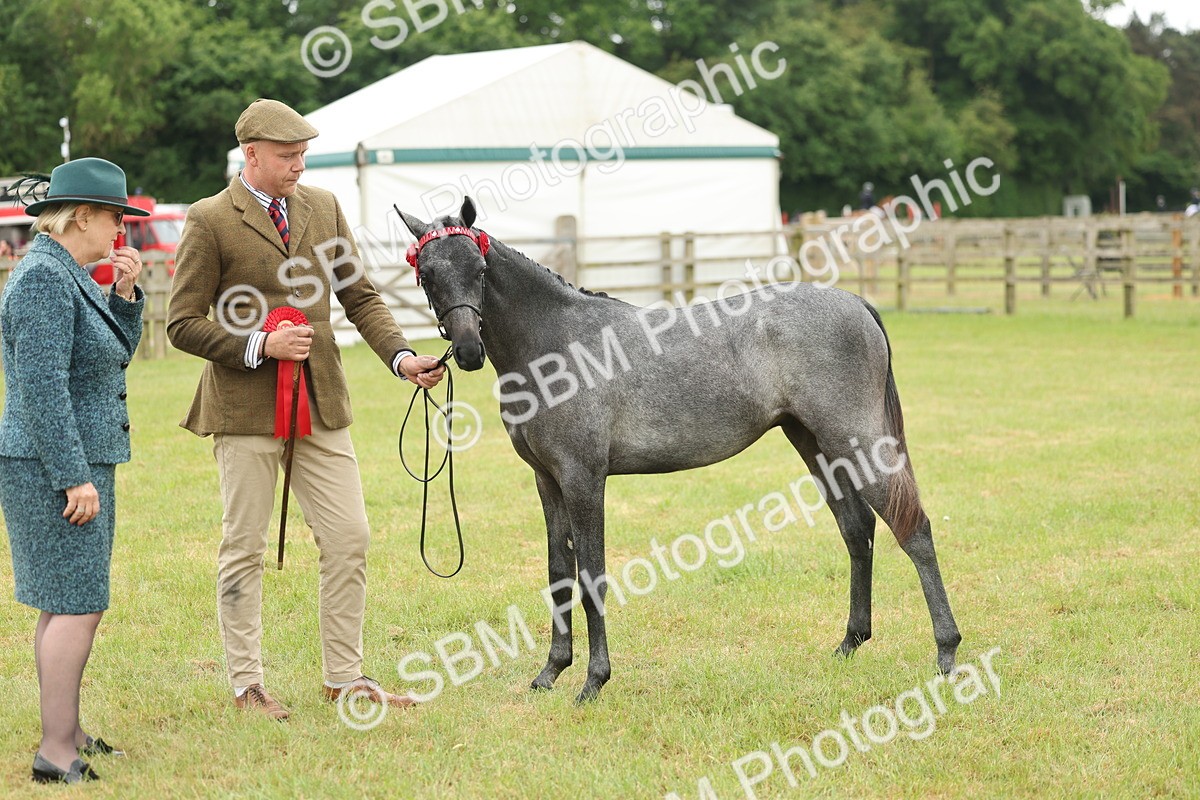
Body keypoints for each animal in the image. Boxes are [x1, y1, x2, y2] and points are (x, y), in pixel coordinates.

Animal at [397, 198, 961, 703]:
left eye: (480, 268)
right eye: (428, 273)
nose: (468, 350)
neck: (556, 344)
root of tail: (856, 303)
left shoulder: (583, 478)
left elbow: (591, 576)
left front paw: (593, 681)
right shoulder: (548, 481)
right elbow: (559, 576)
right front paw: (550, 672)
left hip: (855, 439)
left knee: (912, 529)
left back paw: (947, 653)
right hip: (815, 443)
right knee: (856, 530)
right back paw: (850, 642)